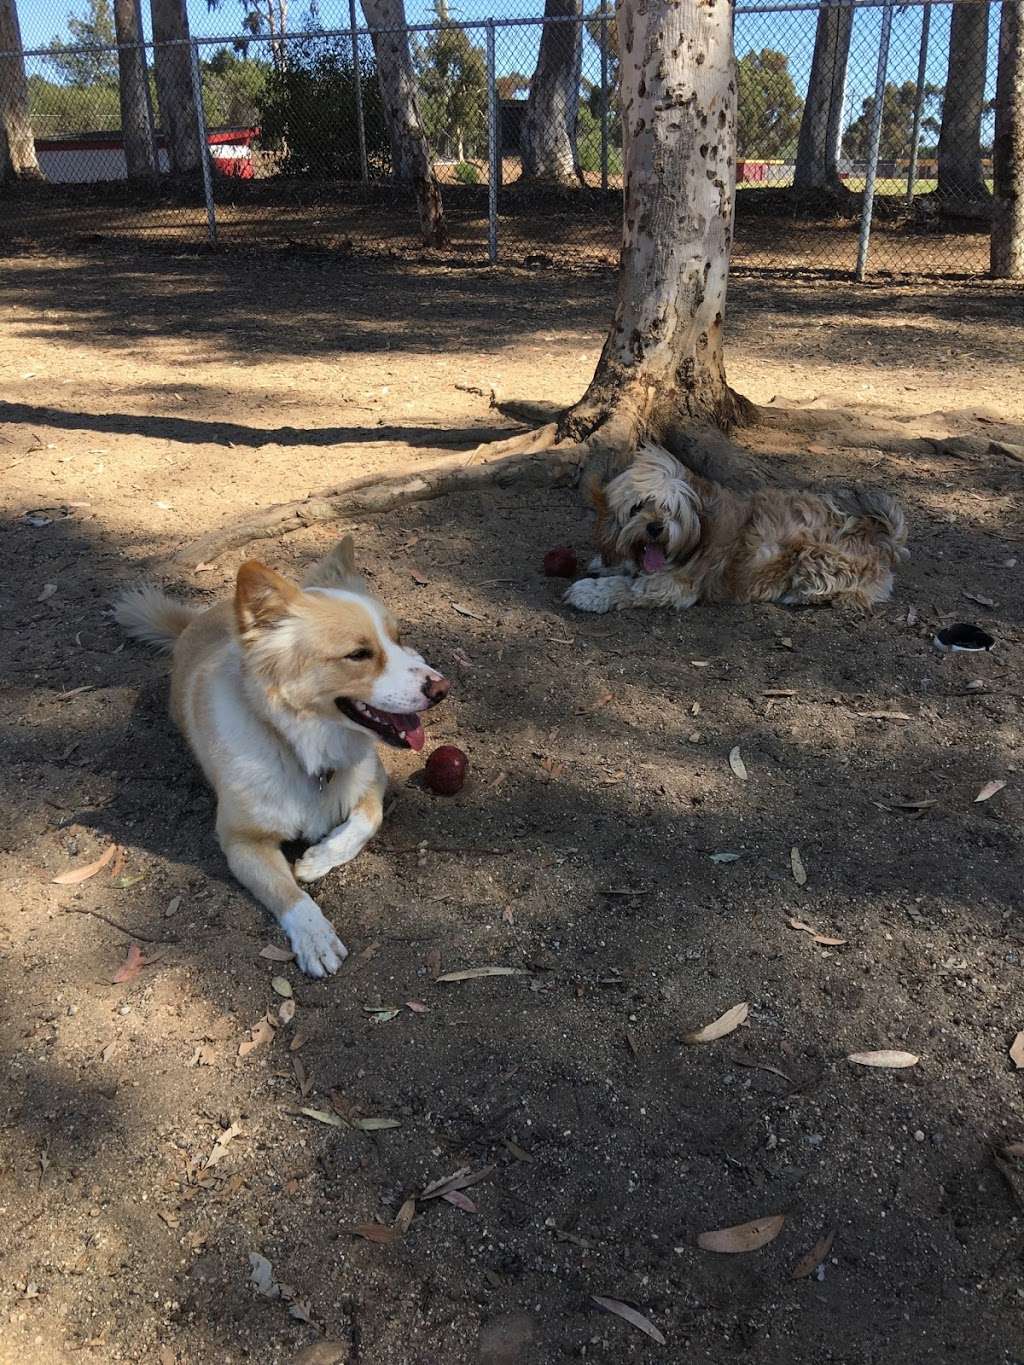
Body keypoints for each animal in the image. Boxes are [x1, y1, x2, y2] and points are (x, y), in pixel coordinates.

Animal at [114, 537, 447, 977]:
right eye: (359, 654)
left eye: (398, 636)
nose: (442, 688)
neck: (302, 748)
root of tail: (194, 622)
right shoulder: (241, 842)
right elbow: (288, 894)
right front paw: (315, 935)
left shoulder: (373, 781)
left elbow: (366, 821)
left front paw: (318, 858)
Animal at [565, 442, 912, 614]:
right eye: (637, 507)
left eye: (669, 509)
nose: (655, 528)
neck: (699, 526)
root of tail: (882, 538)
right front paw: (606, 563)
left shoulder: (675, 585)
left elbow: (628, 588)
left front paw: (589, 593)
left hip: (816, 555)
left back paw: (802, 597)